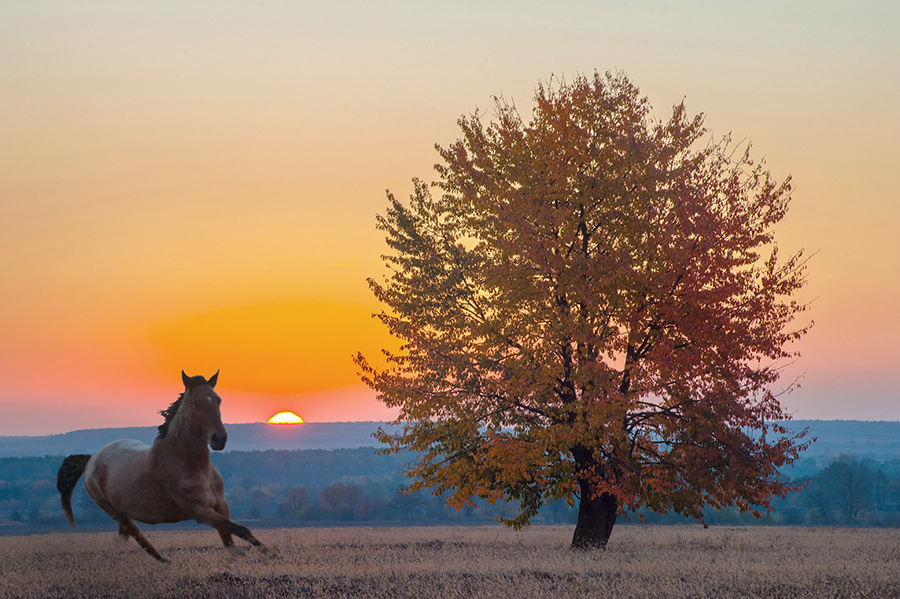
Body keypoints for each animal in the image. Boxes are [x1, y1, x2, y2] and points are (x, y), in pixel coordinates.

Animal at [53, 370, 268, 564]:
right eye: (196, 403)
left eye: (218, 400)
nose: (219, 439)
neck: (195, 466)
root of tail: (92, 459)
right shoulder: (199, 511)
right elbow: (239, 529)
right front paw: (269, 554)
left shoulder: (222, 506)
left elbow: (230, 538)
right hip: (116, 512)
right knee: (137, 536)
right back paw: (164, 561)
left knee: (124, 538)